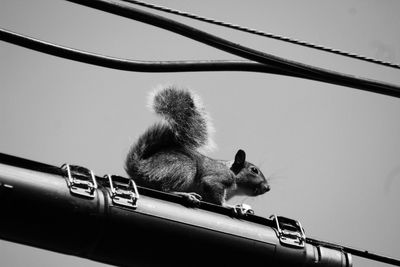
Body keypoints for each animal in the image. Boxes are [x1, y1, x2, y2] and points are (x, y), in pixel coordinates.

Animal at [125, 87, 268, 208]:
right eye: (254, 170)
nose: (268, 188)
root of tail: (141, 168)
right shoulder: (220, 177)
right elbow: (213, 188)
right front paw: (229, 206)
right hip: (184, 167)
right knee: (165, 189)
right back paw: (185, 194)